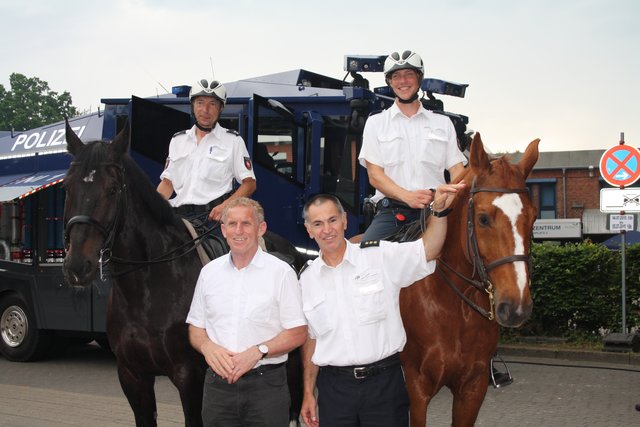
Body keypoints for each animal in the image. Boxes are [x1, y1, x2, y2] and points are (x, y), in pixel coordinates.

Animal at [61, 122, 306, 426]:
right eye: (67, 187)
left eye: (113, 188)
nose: (77, 265)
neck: (146, 289)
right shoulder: (132, 376)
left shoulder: (190, 376)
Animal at [400, 132, 540, 426]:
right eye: (483, 218)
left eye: (533, 218)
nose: (517, 308)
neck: (456, 307)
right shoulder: (415, 390)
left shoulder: (472, 389)